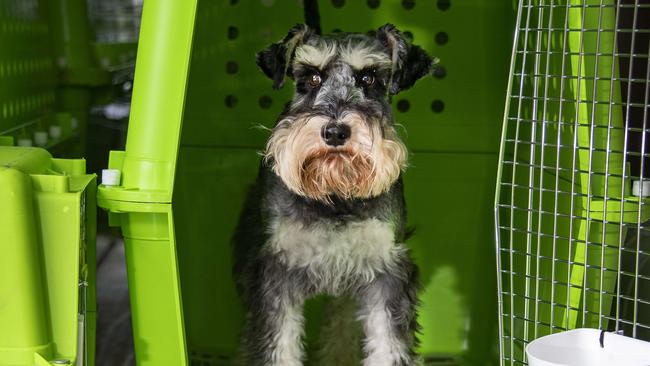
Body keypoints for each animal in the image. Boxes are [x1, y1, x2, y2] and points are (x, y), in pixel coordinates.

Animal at [232, 23, 430, 366]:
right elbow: (277, 345)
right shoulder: (275, 273)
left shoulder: (385, 271)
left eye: (370, 78)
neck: (335, 196)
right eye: (312, 78)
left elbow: (388, 343)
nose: (335, 132)